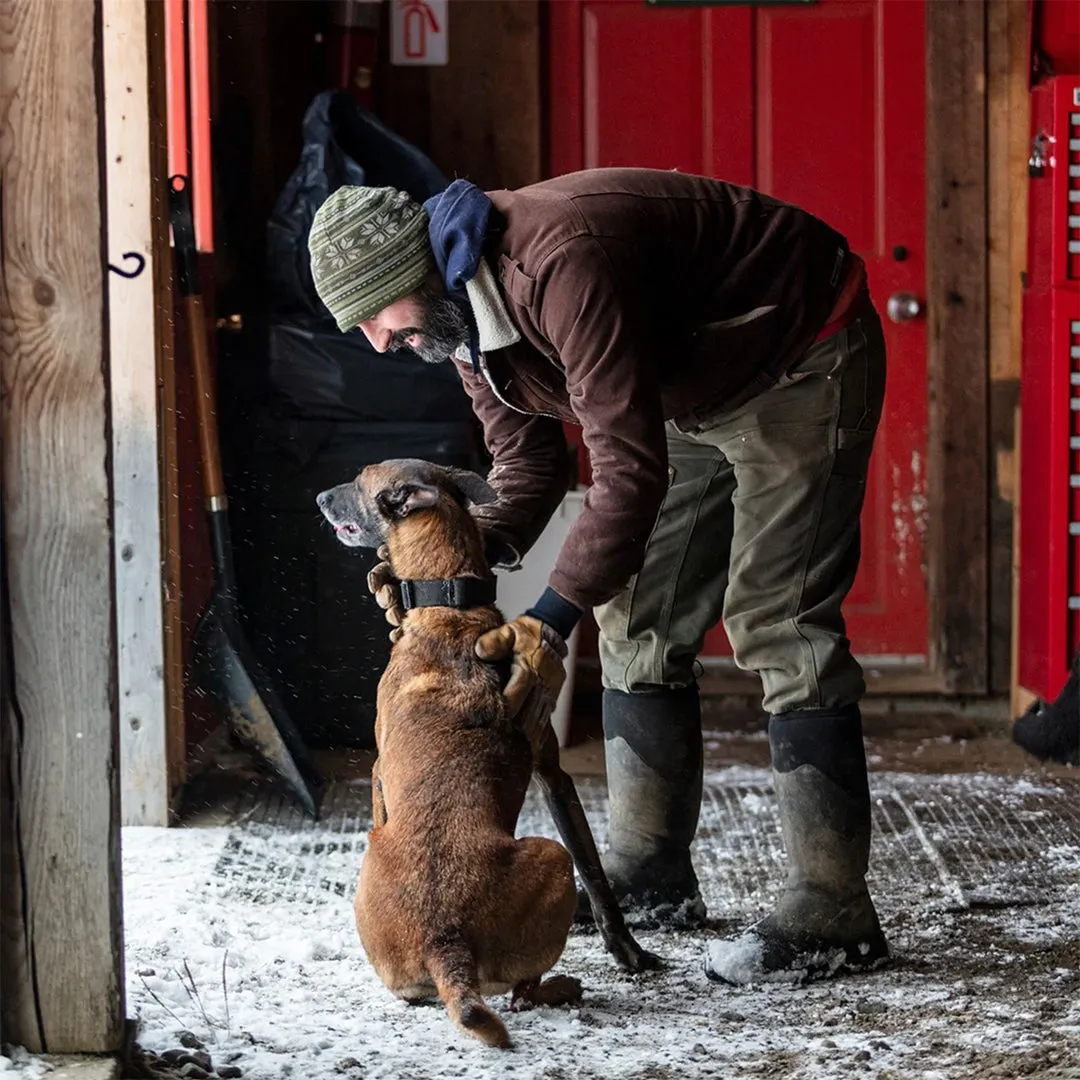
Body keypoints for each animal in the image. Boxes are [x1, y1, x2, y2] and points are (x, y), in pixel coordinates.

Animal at [315, 457, 656, 1045]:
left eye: (360, 480)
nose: (318, 499)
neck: (451, 609)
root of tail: (444, 941)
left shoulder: (388, 770)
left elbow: (593, 870)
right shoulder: (551, 771)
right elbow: (597, 871)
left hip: (550, 855)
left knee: (522, 994)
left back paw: (560, 987)